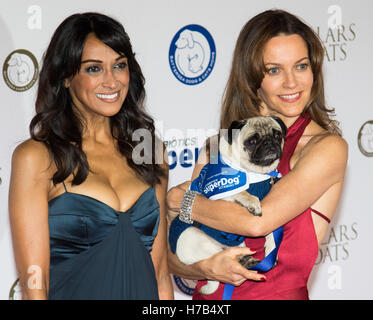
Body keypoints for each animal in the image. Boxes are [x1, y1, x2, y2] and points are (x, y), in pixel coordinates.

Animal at [172, 115, 288, 296]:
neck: (255, 173)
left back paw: (246, 259)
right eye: (252, 141)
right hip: (197, 239)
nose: (269, 142)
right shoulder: (222, 192)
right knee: (219, 255)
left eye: (277, 135)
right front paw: (253, 202)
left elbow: (271, 233)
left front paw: (271, 248)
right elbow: (243, 192)